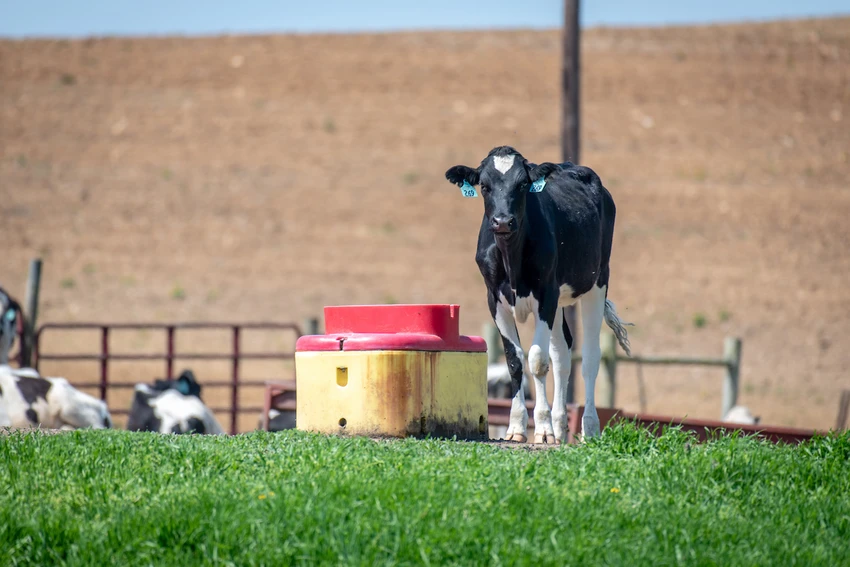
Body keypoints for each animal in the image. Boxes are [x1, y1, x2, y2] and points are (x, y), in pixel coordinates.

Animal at [445, 146, 632, 443]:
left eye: (522, 184)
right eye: (484, 186)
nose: (502, 221)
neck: (512, 261)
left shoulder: (545, 296)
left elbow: (537, 360)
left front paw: (542, 428)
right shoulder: (494, 299)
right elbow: (515, 360)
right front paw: (517, 427)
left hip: (597, 282)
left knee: (589, 357)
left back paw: (589, 428)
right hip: (560, 300)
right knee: (562, 353)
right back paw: (560, 425)